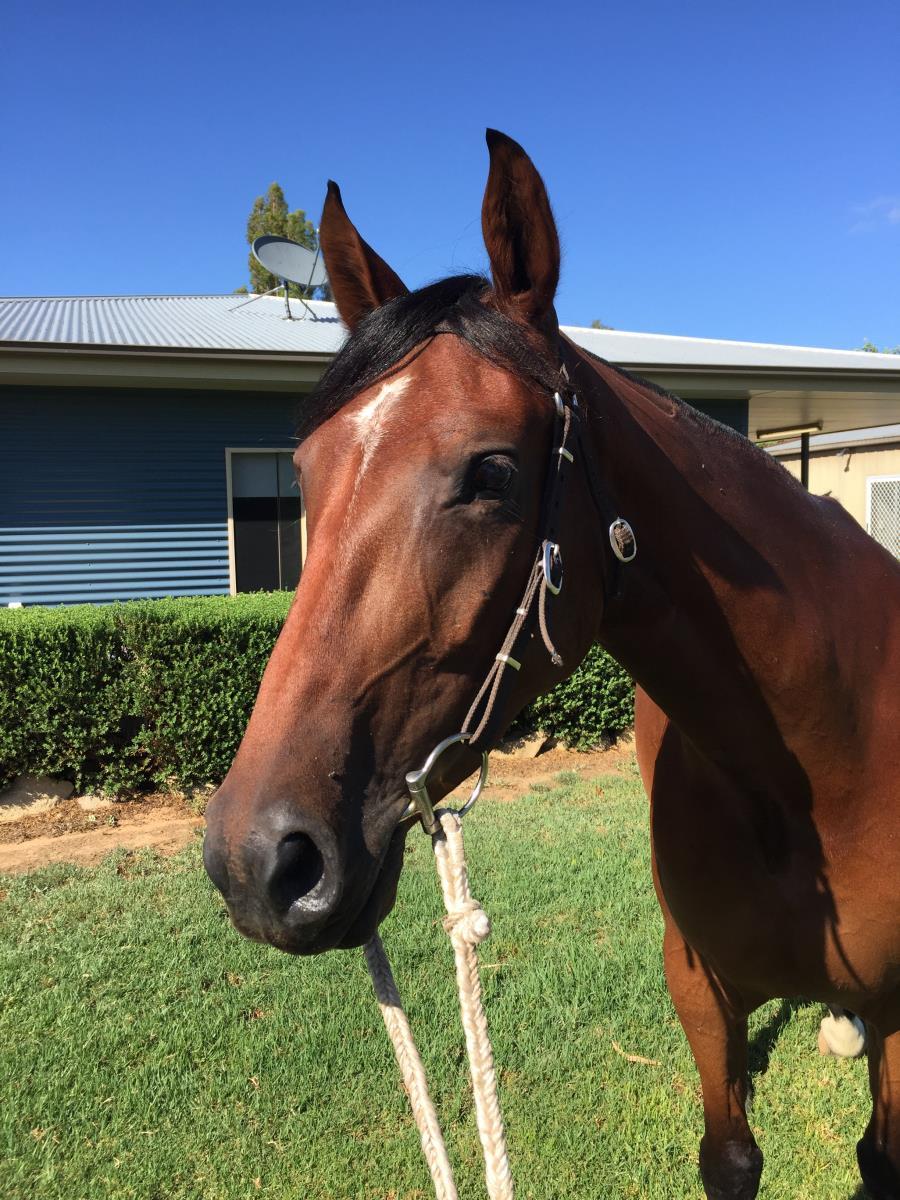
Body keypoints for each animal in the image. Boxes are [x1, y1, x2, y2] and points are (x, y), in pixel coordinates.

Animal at [203, 130, 900, 1199]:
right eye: (306, 475)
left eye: (491, 471)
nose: (259, 862)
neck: (822, 760)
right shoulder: (700, 989)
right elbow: (731, 1156)